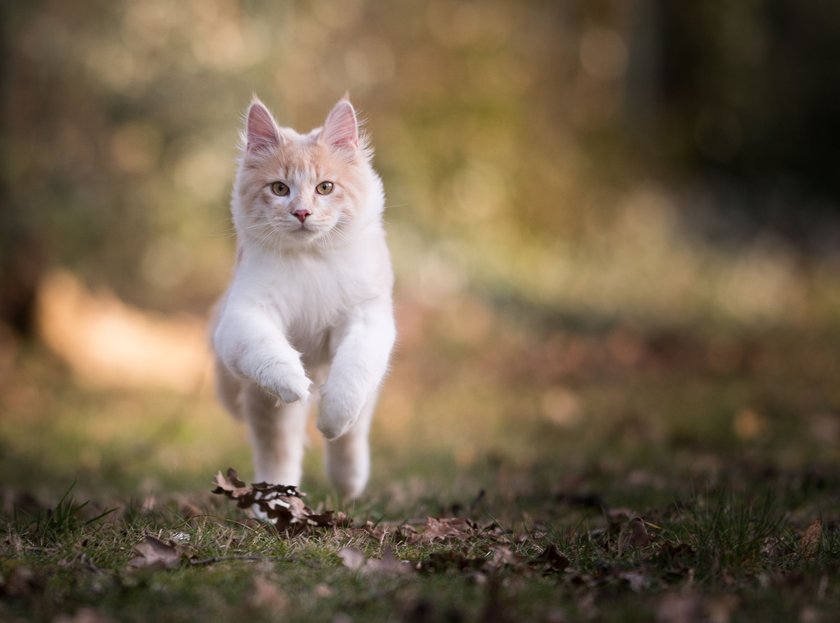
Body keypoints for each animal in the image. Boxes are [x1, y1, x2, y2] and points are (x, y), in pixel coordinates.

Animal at [210, 95, 394, 500]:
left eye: (325, 188)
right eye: (280, 189)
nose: (302, 212)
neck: (311, 260)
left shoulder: (367, 320)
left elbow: (349, 381)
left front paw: (330, 417)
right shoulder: (245, 316)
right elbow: (271, 353)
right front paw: (296, 382)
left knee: (352, 436)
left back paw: (348, 482)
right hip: (266, 410)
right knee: (278, 454)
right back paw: (274, 502)